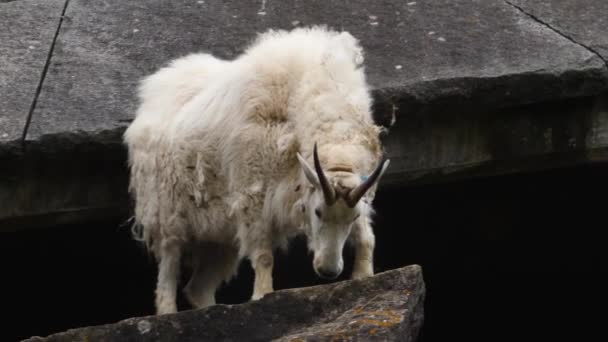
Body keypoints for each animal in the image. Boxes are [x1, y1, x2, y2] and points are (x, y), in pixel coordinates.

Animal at [123, 26, 390, 316]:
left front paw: (363, 276)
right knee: (169, 266)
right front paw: (263, 295)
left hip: (219, 236)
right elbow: (263, 255)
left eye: (352, 217)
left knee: (198, 288)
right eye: (318, 211)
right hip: (167, 213)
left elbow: (367, 237)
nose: (328, 271)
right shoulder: (253, 196)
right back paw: (169, 310)